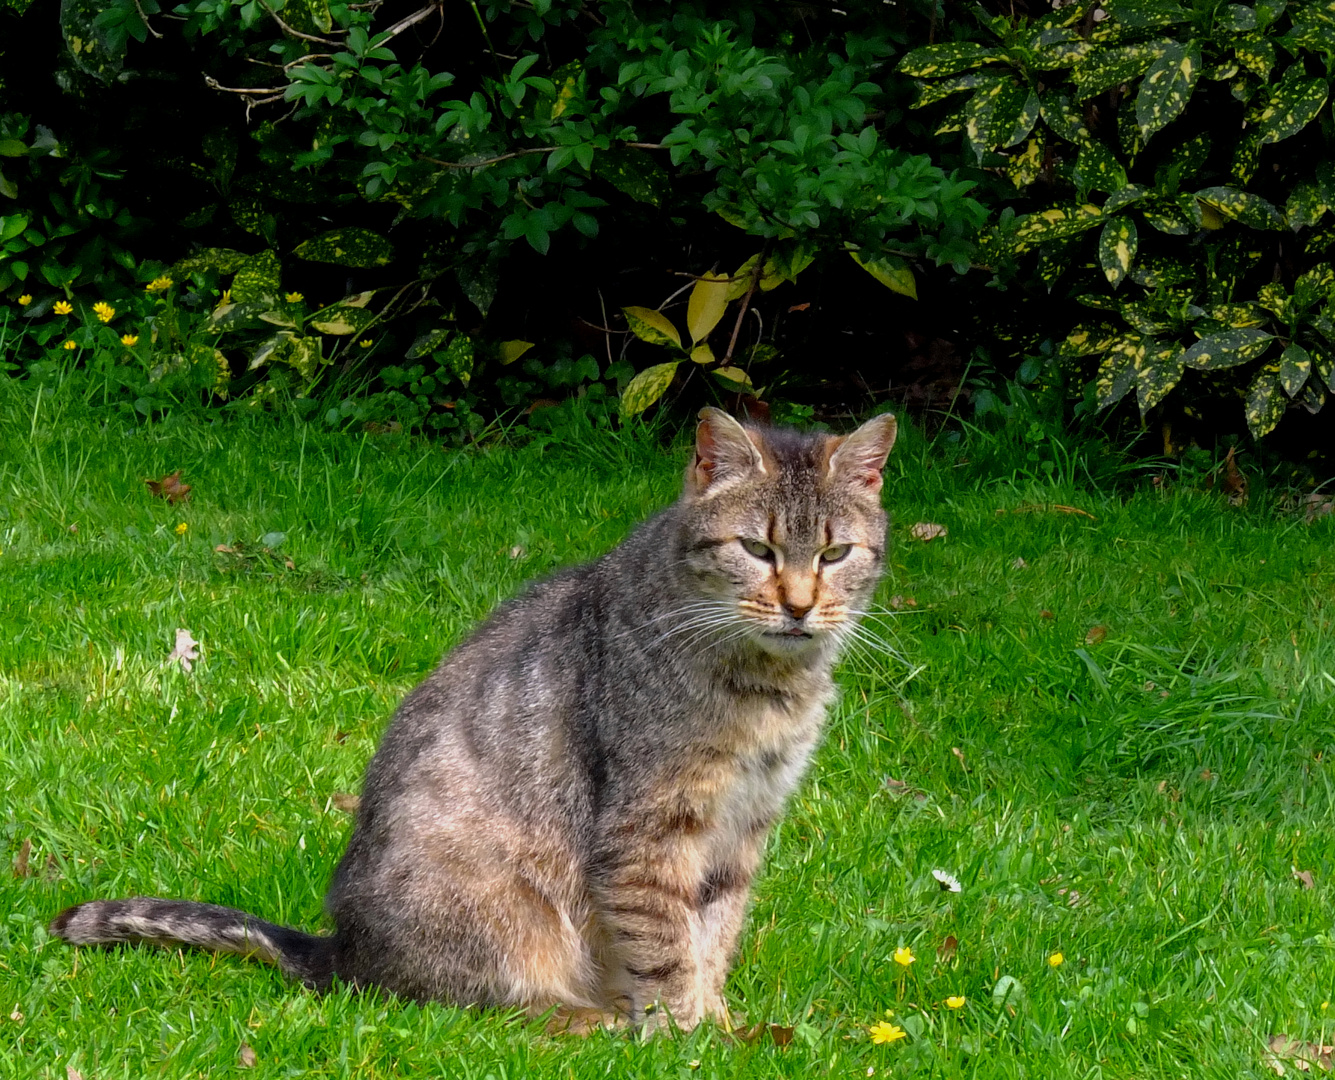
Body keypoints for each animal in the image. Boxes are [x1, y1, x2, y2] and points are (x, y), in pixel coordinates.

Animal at [54, 408, 907, 1030]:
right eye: (756, 549)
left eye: (834, 555)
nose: (799, 605)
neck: (769, 687)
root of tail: (343, 952)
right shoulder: (649, 829)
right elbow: (667, 947)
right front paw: (684, 1035)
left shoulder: (744, 825)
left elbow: (714, 936)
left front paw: (718, 1022)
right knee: (477, 1010)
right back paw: (592, 1021)